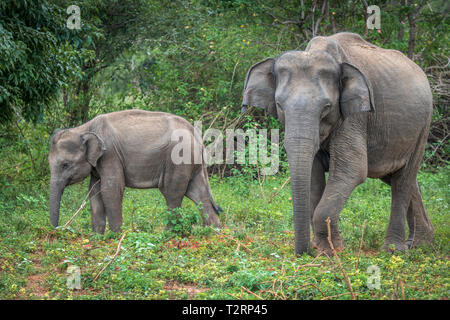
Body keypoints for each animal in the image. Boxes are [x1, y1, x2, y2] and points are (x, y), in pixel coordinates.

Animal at [48, 109, 221, 232]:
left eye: (65, 164)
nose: (57, 230)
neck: (84, 128)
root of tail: (195, 134)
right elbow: (94, 191)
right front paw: (97, 238)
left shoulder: (110, 155)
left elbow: (111, 188)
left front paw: (115, 237)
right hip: (191, 163)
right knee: (197, 193)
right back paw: (214, 233)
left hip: (178, 159)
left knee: (172, 193)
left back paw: (168, 235)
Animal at [241, 32, 434, 255]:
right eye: (280, 105)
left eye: (327, 107)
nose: (305, 251)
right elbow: (314, 175)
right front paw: (323, 248)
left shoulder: (355, 116)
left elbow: (352, 169)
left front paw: (330, 251)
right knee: (397, 177)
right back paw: (421, 243)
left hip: (423, 126)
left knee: (403, 179)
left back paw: (394, 250)